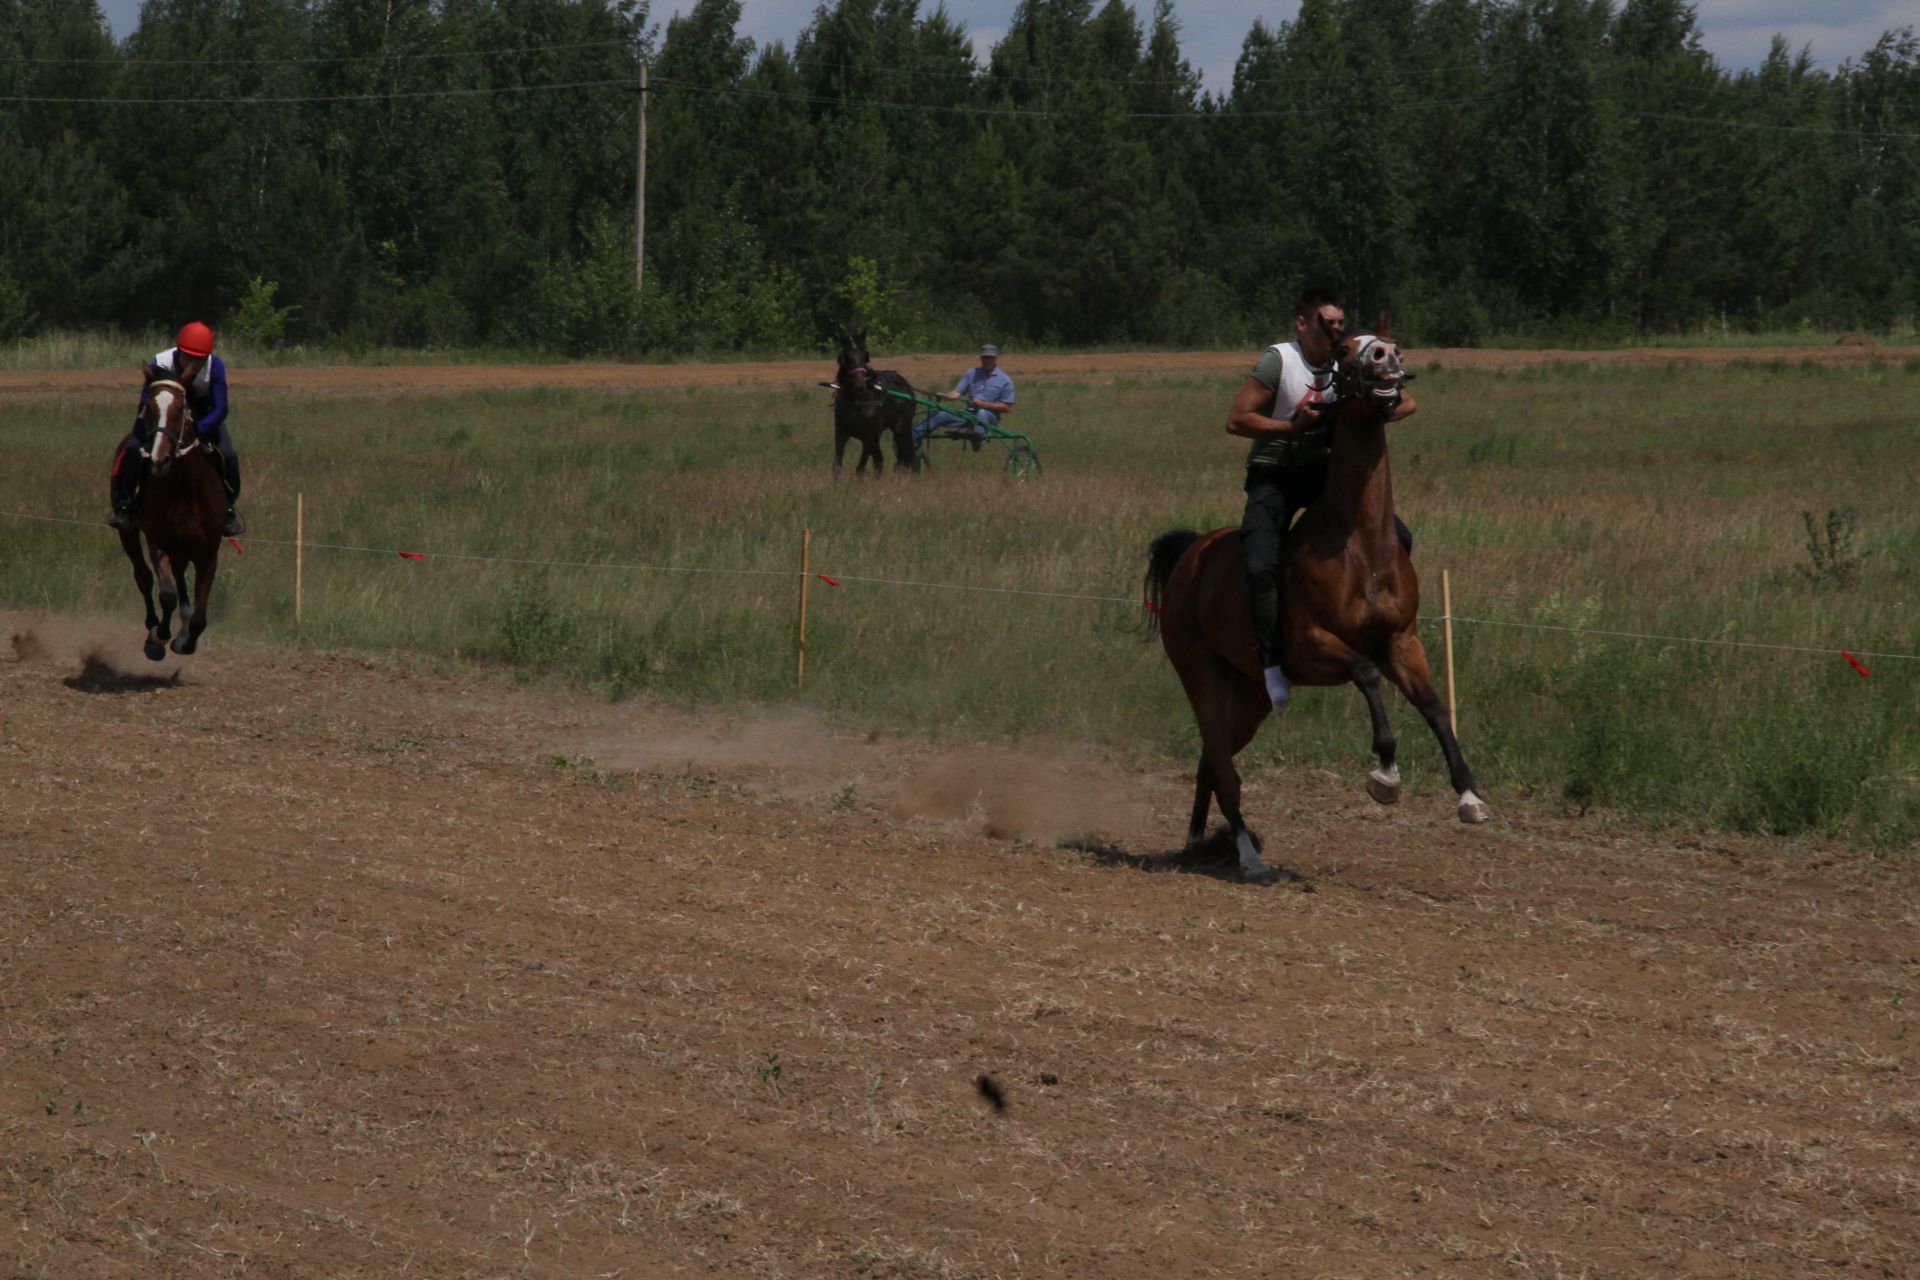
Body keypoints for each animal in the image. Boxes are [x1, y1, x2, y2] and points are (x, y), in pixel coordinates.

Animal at [119, 362, 227, 656]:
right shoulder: (159, 541)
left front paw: (186, 640)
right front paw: (158, 638)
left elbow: (201, 615)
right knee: (143, 576)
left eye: (180, 408)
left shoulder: (208, 551)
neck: (185, 489)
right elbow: (166, 595)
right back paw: (154, 626)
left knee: (179, 576)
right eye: (149, 408)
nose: (159, 459)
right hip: (128, 533)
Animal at [829, 328, 917, 477]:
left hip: (901, 428)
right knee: (882, 460)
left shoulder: (868, 436)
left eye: (865, 354)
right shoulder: (841, 433)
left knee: (904, 458)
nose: (860, 385)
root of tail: (905, 384)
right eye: (846, 357)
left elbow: (860, 468)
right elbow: (837, 466)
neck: (856, 402)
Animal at [1144, 335, 1489, 886]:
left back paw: (1198, 841)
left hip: (1250, 698)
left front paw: (1470, 796)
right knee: (1223, 767)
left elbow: (1435, 706)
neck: (1361, 546)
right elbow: (1367, 674)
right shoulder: (1312, 647)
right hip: (1200, 676)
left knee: (1210, 763)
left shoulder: (1402, 642)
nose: (1386, 354)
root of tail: (1192, 554)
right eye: (1346, 348)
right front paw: (1385, 772)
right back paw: (1249, 858)